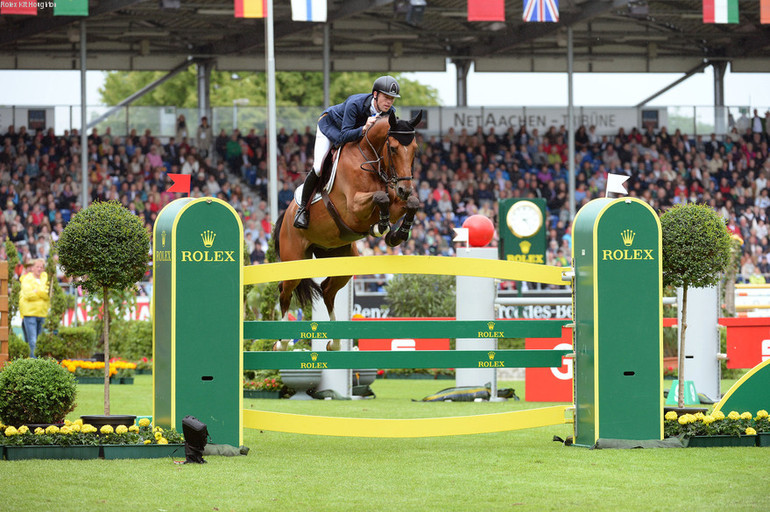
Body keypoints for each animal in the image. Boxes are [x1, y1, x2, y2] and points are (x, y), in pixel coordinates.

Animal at [272, 110, 424, 322]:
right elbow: (380, 197)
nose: (405, 189)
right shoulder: (353, 208)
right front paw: (381, 227)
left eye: (415, 149)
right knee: (284, 292)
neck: (370, 158)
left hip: (340, 258)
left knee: (327, 290)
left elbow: (411, 203)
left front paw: (396, 235)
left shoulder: (396, 203)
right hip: (293, 259)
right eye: (393, 149)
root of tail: (285, 216)